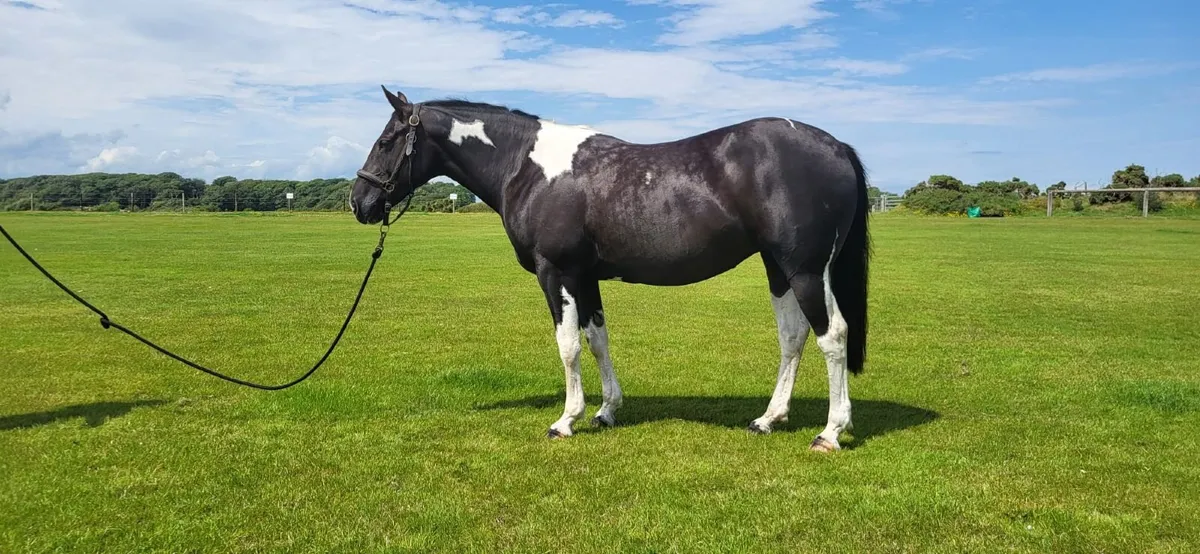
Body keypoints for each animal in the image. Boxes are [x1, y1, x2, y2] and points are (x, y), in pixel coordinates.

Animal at [351, 86, 871, 452]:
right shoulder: (585, 277)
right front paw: (606, 411)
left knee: (833, 335)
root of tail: (836, 146)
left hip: (805, 270)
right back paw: (768, 419)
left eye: (387, 140)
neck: (529, 167)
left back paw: (830, 431)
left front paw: (566, 420)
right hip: (779, 269)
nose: (360, 201)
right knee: (793, 336)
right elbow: (597, 340)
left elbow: (567, 345)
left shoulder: (556, 273)